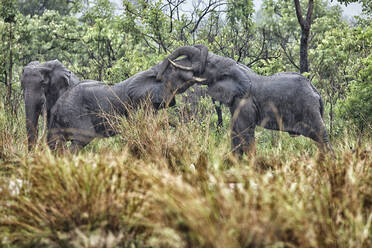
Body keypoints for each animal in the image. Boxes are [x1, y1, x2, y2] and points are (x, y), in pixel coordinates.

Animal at [46, 46, 208, 151]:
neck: (152, 73)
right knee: (79, 141)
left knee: (56, 145)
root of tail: (57, 106)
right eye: (175, 69)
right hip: (75, 115)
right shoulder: (139, 104)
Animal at [156, 44, 332, 156]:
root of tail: (316, 92)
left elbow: (244, 132)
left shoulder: (245, 100)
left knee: (321, 136)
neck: (236, 66)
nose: (158, 76)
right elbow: (235, 132)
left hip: (309, 108)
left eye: (209, 64)